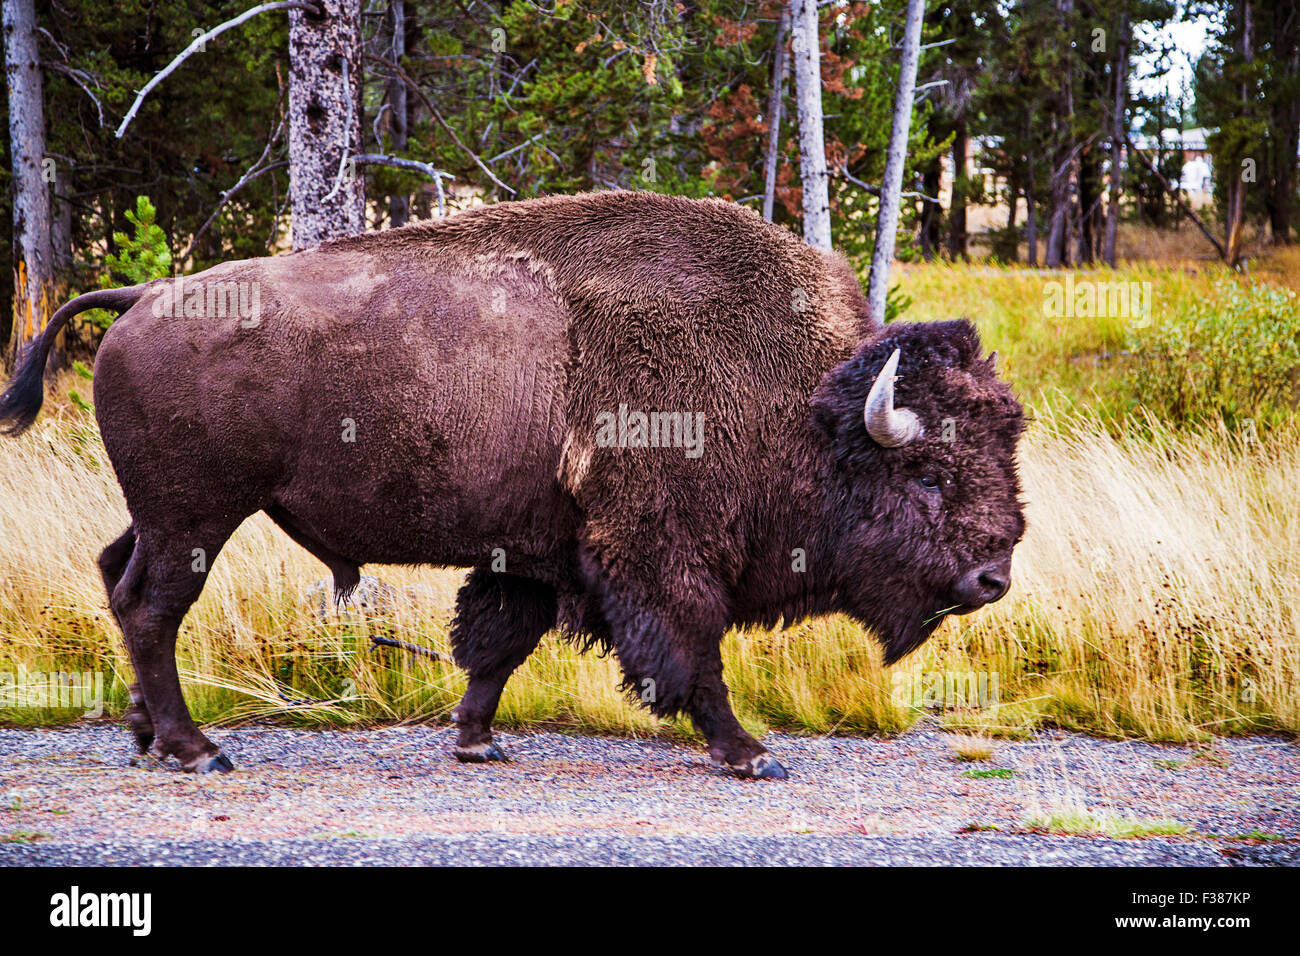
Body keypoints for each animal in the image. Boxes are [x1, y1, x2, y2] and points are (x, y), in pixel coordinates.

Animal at [0, 192, 1024, 780]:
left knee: (117, 577)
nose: (992, 579)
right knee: (151, 606)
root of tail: (141, 299)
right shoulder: (660, 557)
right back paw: (198, 752)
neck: (801, 403)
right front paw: (751, 756)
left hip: (159, 513)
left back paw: (146, 735)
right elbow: (692, 654)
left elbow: (498, 645)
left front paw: (477, 740)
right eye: (927, 472)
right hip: (198, 516)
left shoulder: (536, 552)